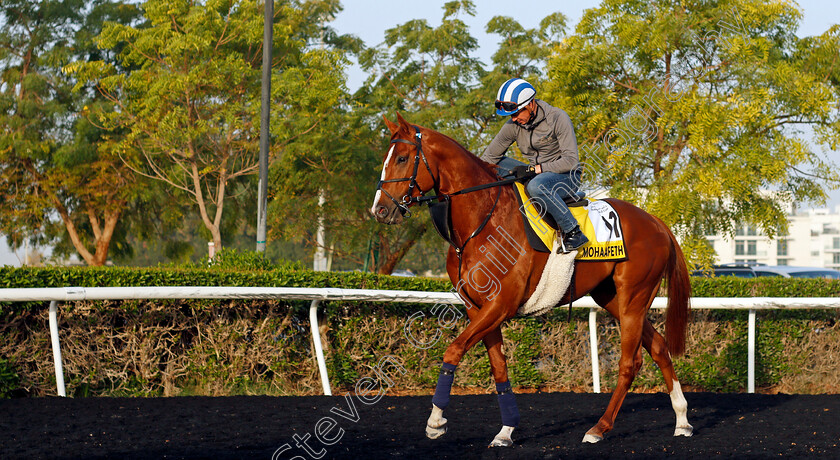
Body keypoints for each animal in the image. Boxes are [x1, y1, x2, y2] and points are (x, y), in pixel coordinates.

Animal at [370, 113, 692, 448]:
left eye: (403, 158)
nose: (380, 209)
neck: (482, 221)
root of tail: (657, 222)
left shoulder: (500, 305)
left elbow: (453, 350)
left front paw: (436, 421)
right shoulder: (478, 308)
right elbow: (499, 367)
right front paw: (506, 430)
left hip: (633, 299)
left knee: (630, 363)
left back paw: (599, 427)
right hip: (613, 299)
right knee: (659, 348)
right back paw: (682, 419)